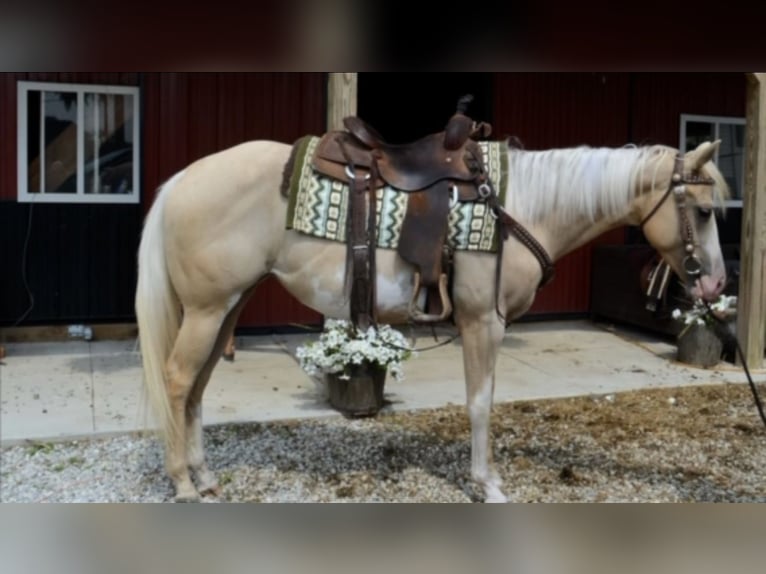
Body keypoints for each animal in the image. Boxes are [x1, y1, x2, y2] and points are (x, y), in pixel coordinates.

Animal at [135, 133, 729, 502]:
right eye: (703, 212)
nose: (716, 286)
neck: (519, 208)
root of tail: (181, 180)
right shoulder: (482, 322)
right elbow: (480, 403)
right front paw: (486, 484)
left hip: (225, 308)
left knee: (196, 389)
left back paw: (205, 478)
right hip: (207, 311)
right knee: (178, 380)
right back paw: (183, 484)